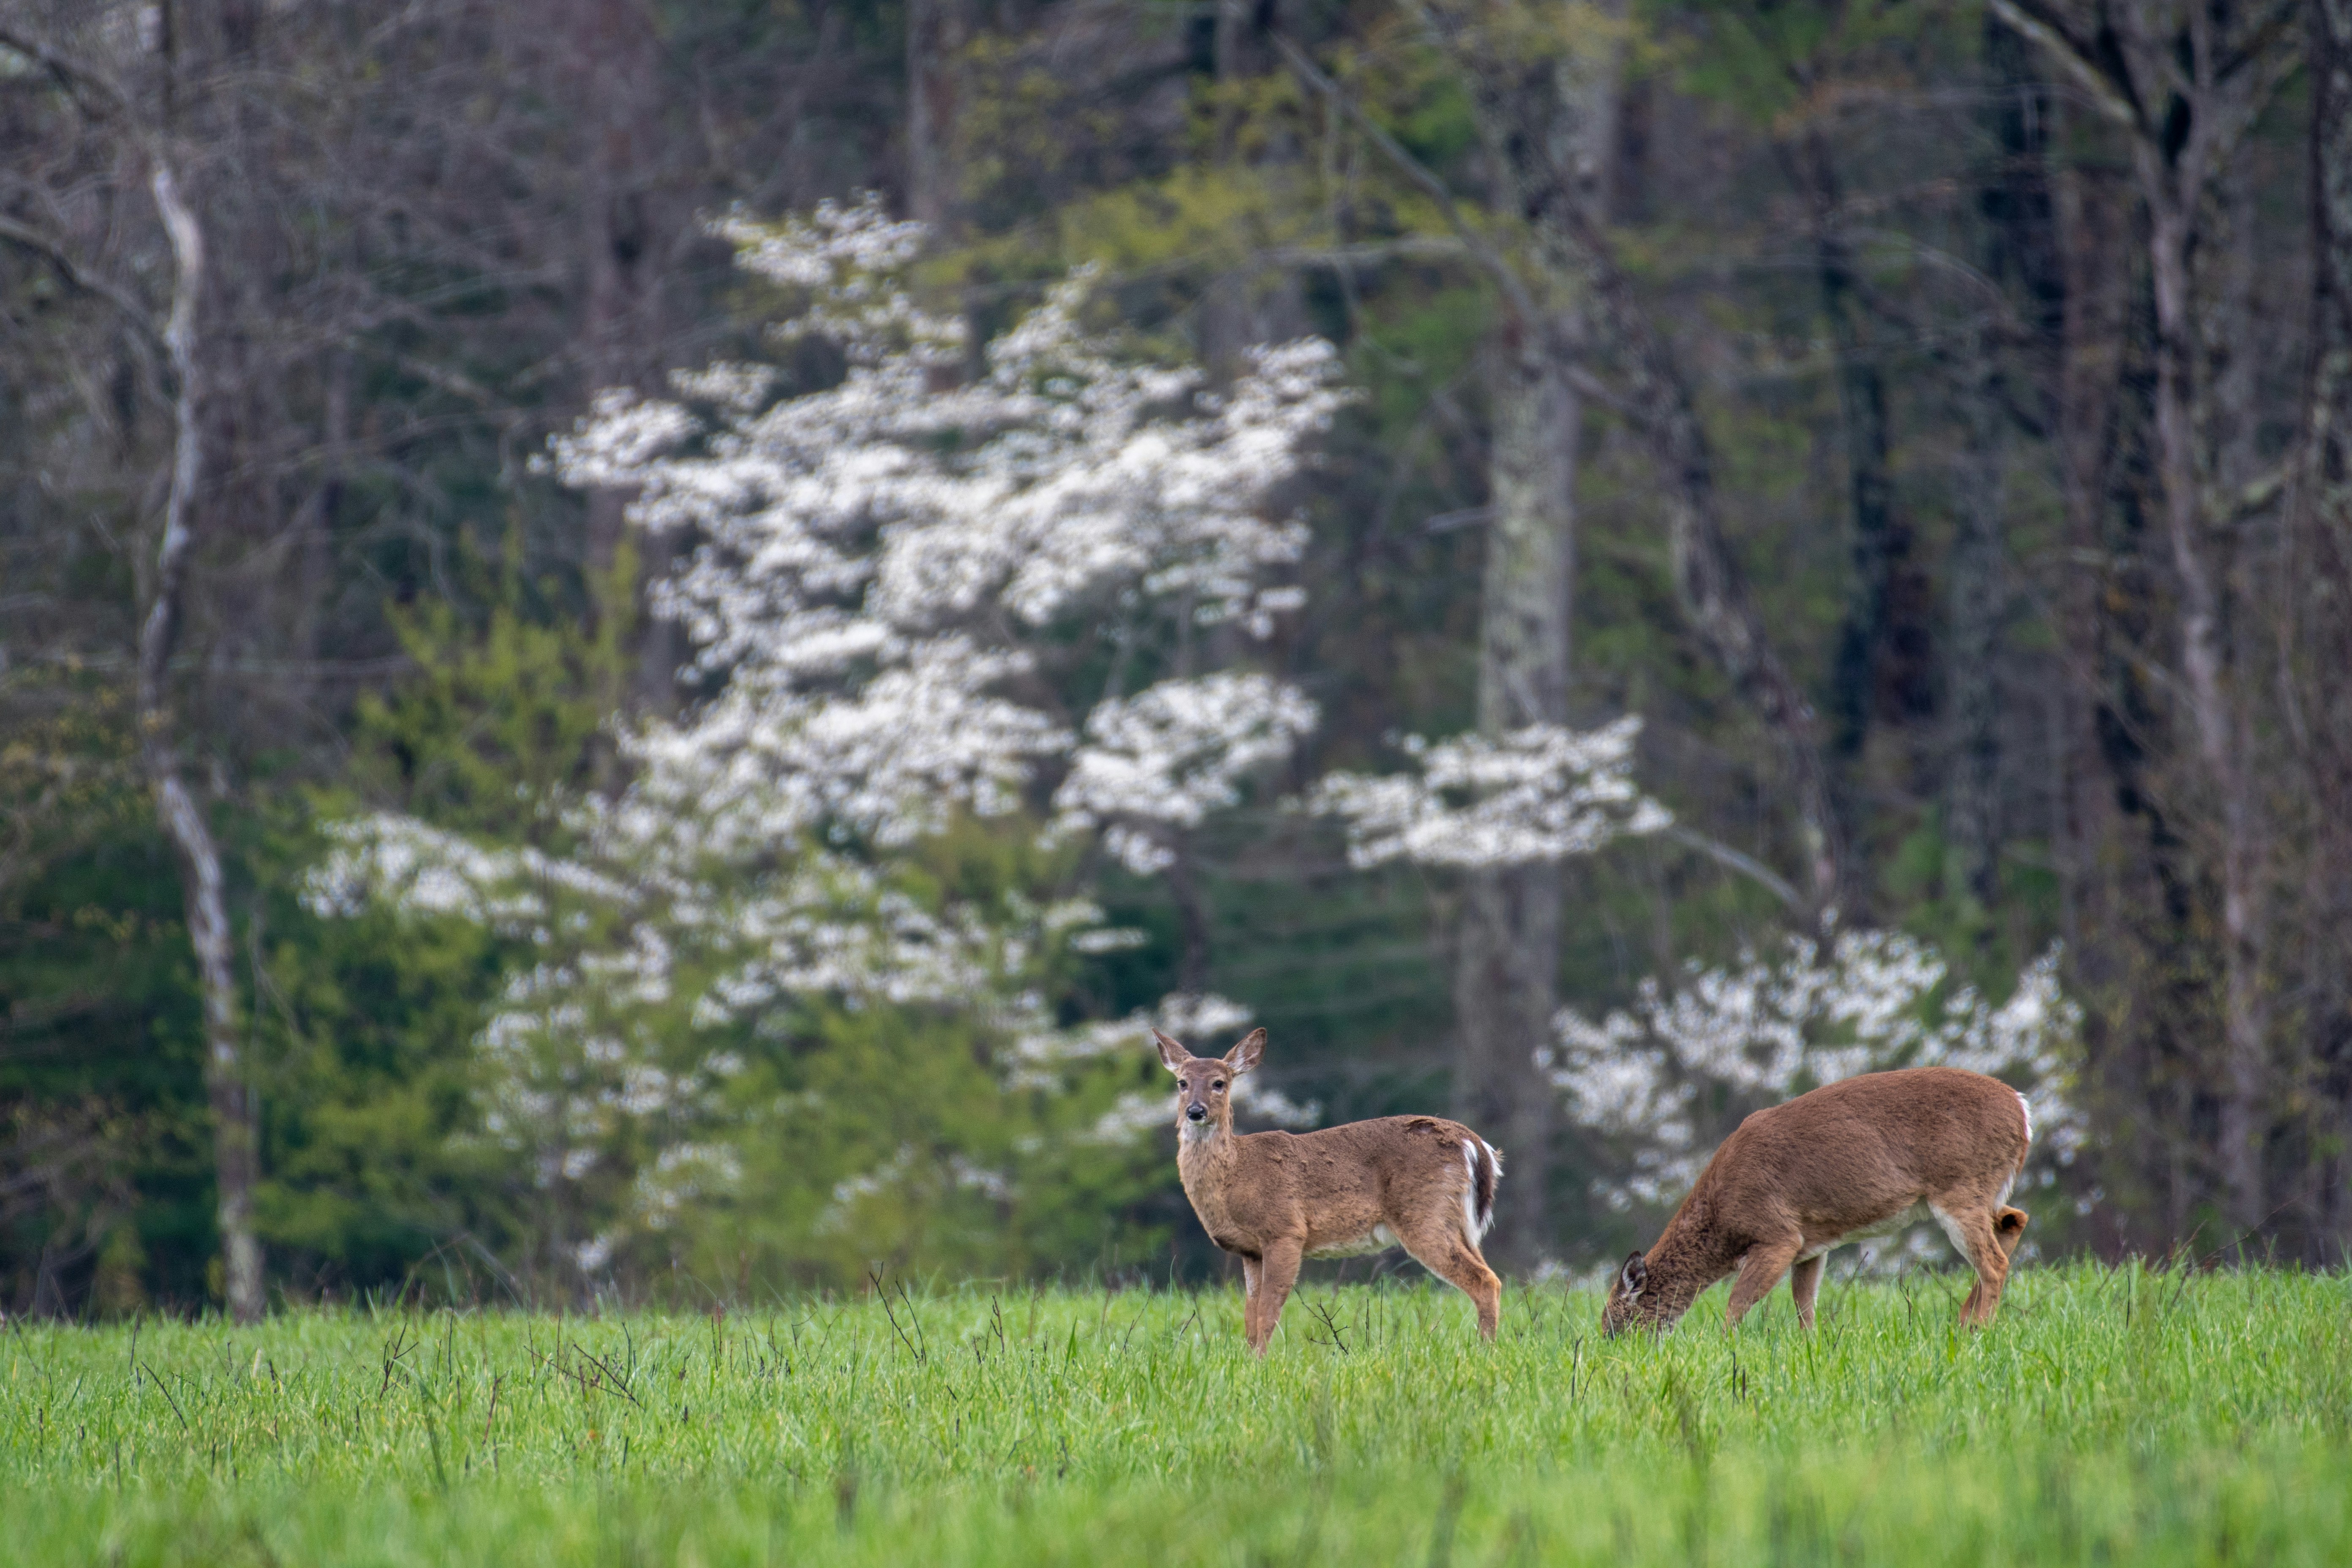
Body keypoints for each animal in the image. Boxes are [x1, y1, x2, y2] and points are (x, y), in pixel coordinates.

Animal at [1152, 1027, 1504, 1352]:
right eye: (1182, 1083)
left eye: (1219, 1083)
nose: (1195, 1111)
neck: (1235, 1176)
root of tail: (1473, 1142)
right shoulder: (1250, 1250)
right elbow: (1250, 1313)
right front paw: (1249, 1357)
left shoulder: (1285, 1229)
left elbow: (1269, 1308)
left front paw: (1261, 1360)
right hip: (1458, 1222)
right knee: (1490, 1274)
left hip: (1424, 1215)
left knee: (1484, 1280)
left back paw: (1484, 1349)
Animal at [1600, 1066, 2033, 1337]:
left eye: (1615, 1326)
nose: (1619, 1351)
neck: (1721, 1220)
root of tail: (2023, 1111)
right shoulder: (1810, 1245)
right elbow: (1804, 1304)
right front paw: (1812, 1346)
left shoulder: (1777, 1234)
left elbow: (1737, 1302)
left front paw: (1727, 1348)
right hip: (1984, 1190)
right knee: (2014, 1220)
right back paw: (1964, 1321)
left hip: (1960, 1186)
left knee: (1994, 1261)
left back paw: (1979, 1328)